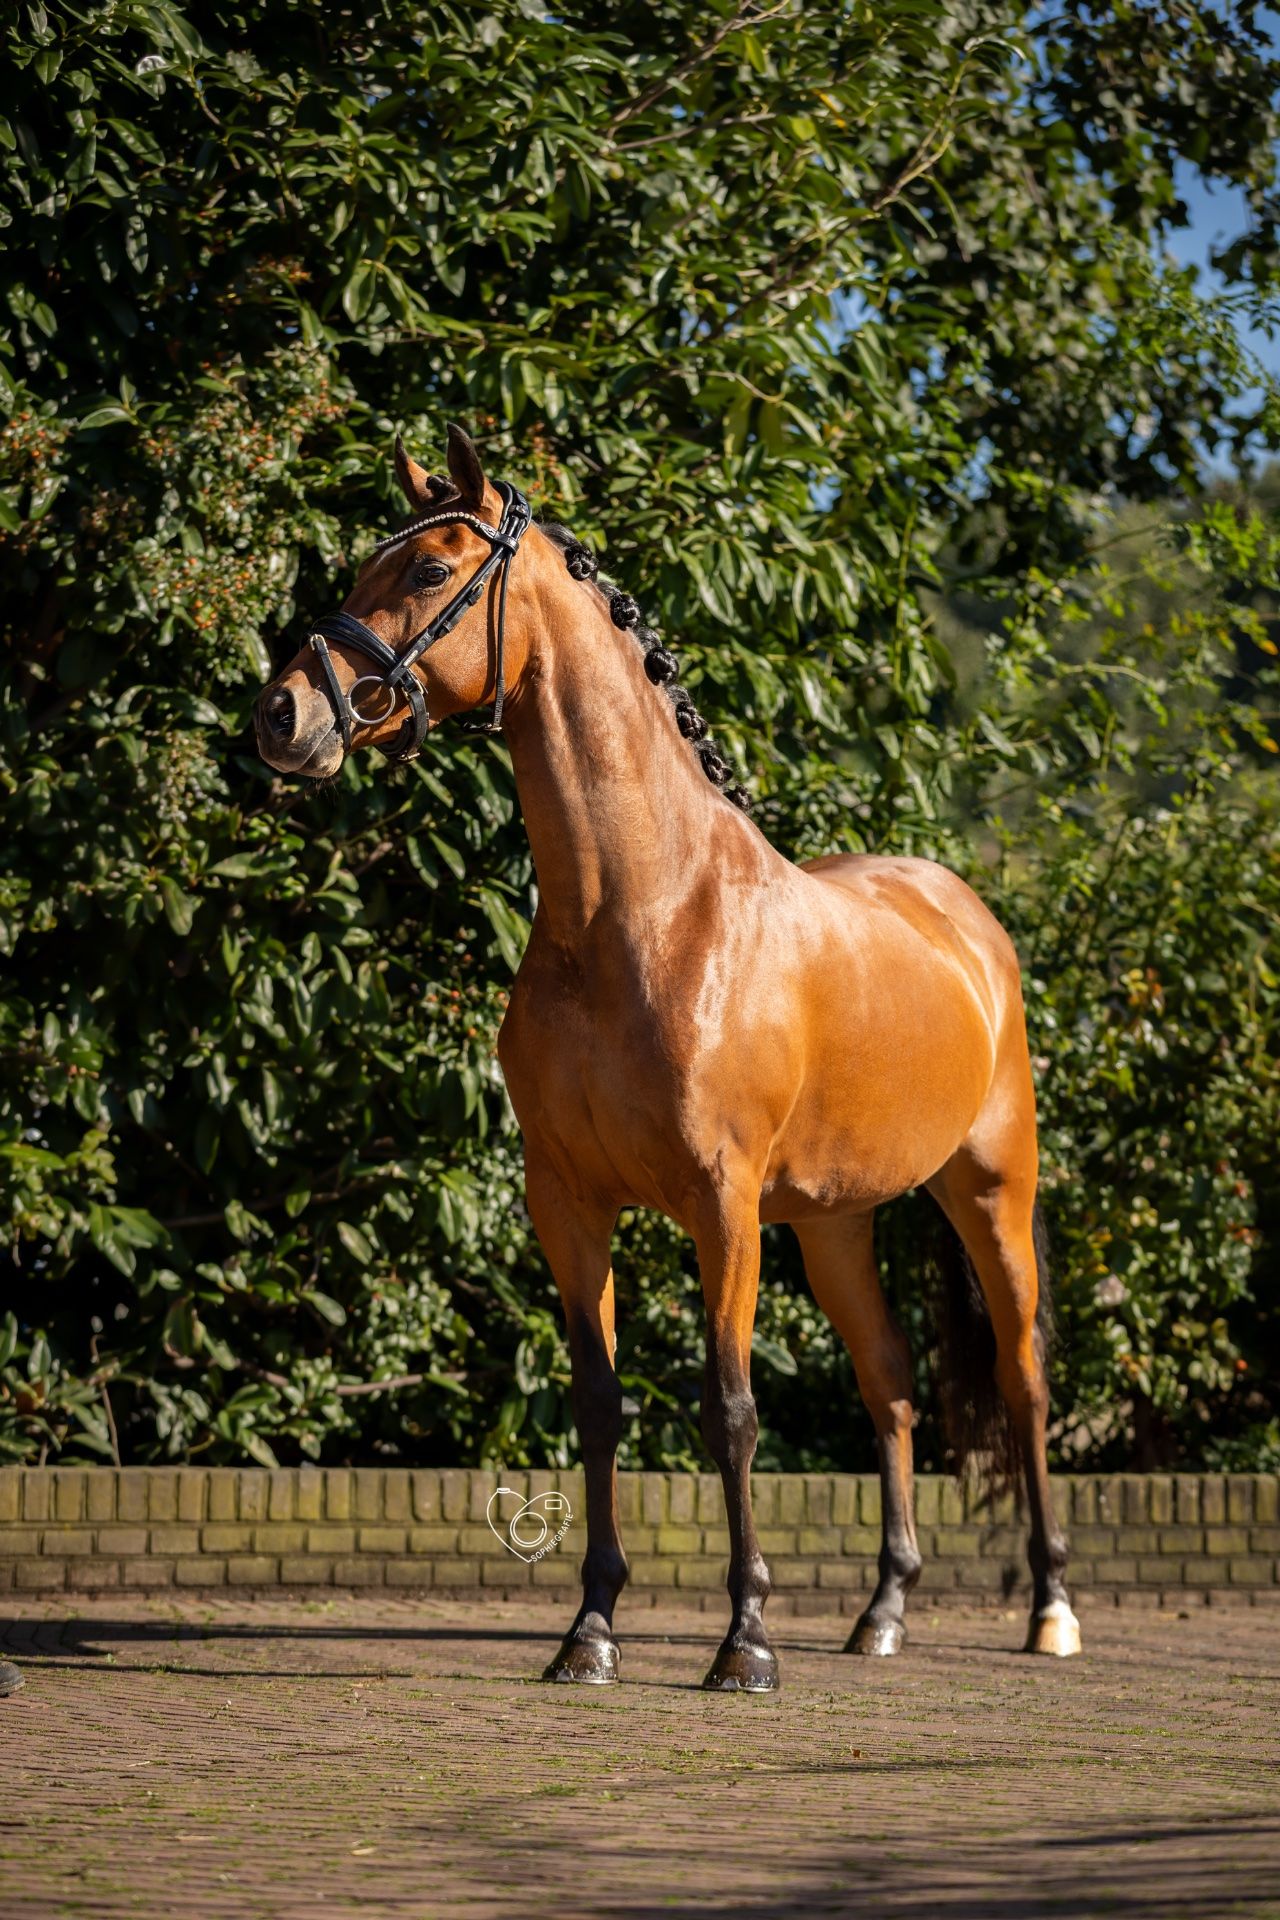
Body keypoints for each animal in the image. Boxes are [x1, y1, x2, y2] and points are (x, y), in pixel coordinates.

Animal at [254, 425, 1081, 1690]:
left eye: (433, 570)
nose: (284, 715)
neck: (639, 916)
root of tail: (963, 918)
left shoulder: (719, 1206)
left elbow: (728, 1408)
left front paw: (743, 1643)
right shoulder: (568, 1201)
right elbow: (597, 1403)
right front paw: (589, 1631)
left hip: (988, 1193)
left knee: (1020, 1379)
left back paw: (1049, 1611)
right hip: (834, 1223)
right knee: (888, 1387)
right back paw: (881, 1612)